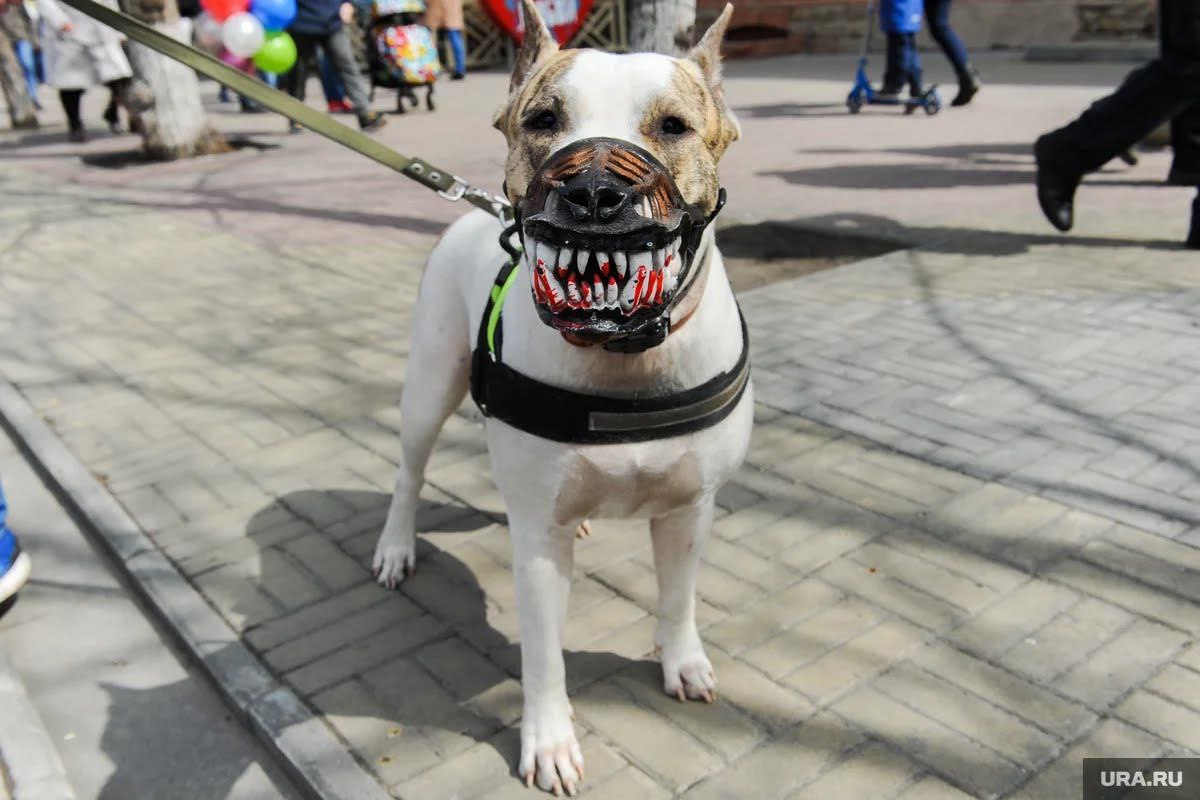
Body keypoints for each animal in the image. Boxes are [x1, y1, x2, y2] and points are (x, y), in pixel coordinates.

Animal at [372, 3, 748, 791]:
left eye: (673, 126)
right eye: (544, 118)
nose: (594, 190)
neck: (624, 357)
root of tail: (473, 212)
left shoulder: (689, 509)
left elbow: (678, 596)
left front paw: (682, 661)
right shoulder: (536, 548)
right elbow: (543, 656)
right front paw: (547, 743)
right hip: (429, 385)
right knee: (409, 473)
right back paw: (394, 548)